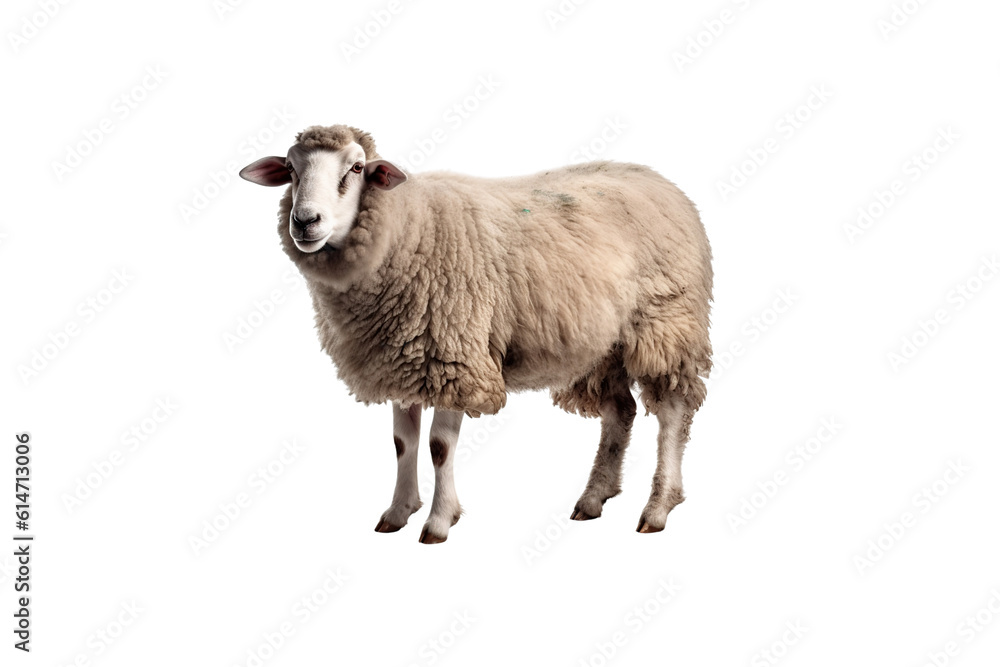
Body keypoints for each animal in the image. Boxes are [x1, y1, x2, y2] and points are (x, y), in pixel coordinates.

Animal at [240, 124, 713, 543]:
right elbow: (402, 443)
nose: (305, 221)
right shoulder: (402, 357)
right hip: (603, 344)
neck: (408, 228)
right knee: (620, 411)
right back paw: (594, 497)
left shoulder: (456, 357)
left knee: (672, 412)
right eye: (290, 167)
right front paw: (398, 511)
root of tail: (660, 180)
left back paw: (658, 507)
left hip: (666, 322)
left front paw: (438, 521)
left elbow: (438, 447)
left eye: (356, 168)